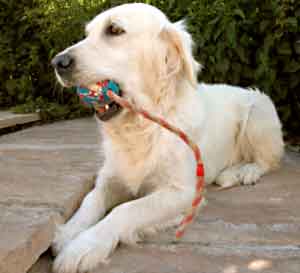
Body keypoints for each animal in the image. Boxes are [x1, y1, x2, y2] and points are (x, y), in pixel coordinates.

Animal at [50, 2, 282, 272]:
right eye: (87, 34)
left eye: (114, 30)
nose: (58, 62)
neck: (143, 127)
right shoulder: (110, 178)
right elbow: (90, 200)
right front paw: (69, 233)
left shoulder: (182, 192)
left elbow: (125, 209)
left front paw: (84, 246)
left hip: (258, 112)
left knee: (267, 161)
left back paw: (243, 172)